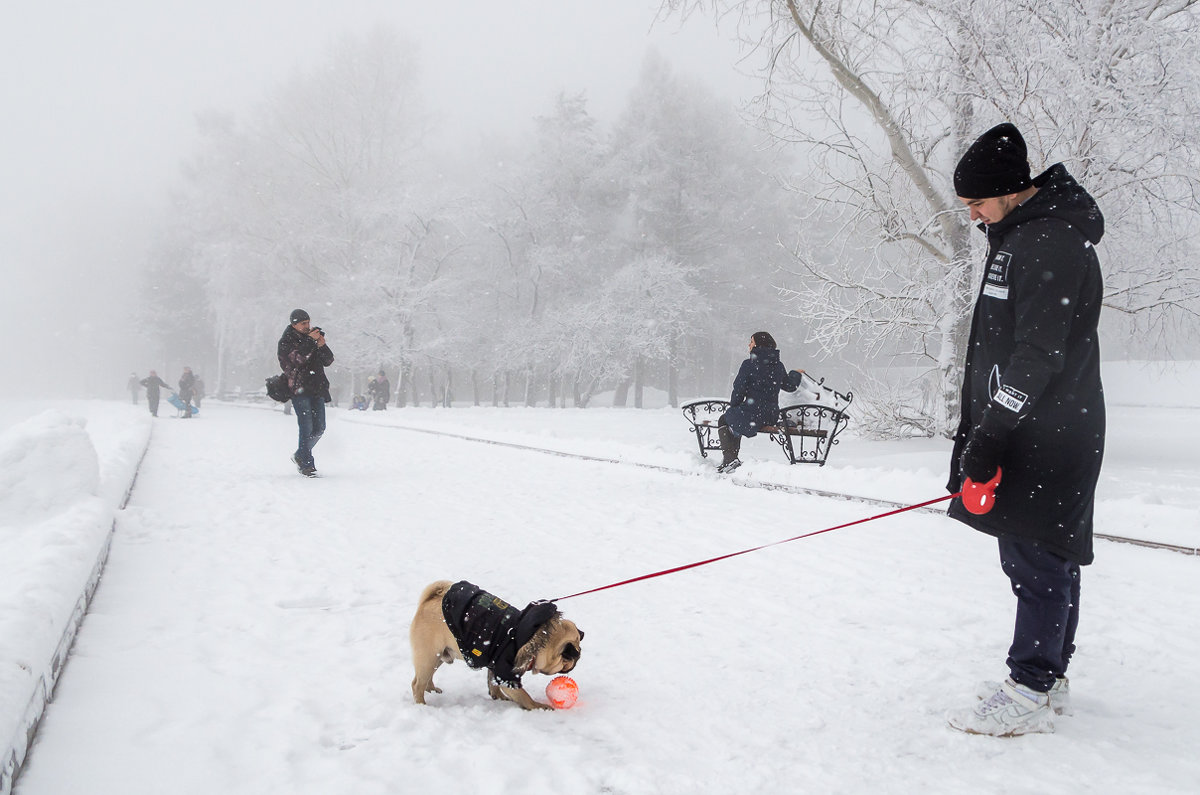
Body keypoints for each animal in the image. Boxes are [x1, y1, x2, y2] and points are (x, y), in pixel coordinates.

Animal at [410, 578, 583, 710]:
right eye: (571, 659)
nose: (579, 654)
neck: (537, 635)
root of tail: (428, 601)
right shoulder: (506, 673)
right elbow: (524, 697)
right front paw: (539, 707)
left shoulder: (494, 665)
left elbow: (492, 682)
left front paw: (498, 697)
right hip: (428, 657)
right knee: (417, 684)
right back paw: (422, 705)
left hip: (438, 656)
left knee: (428, 678)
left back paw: (432, 690)